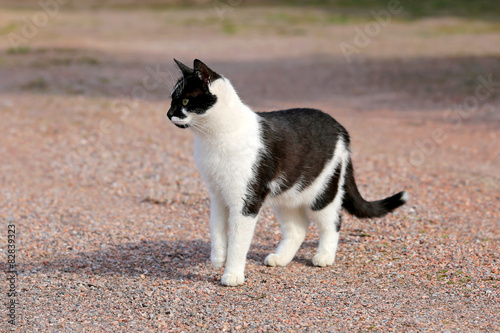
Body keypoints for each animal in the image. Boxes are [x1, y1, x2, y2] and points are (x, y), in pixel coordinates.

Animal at [166, 59, 408, 286]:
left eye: (185, 101)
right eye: (171, 100)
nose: (168, 114)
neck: (214, 137)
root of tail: (340, 127)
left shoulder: (247, 200)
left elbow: (237, 241)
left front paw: (232, 274)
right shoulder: (217, 195)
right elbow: (216, 230)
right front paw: (218, 259)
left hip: (322, 191)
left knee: (333, 222)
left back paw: (324, 256)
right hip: (287, 194)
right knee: (298, 228)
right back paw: (280, 258)